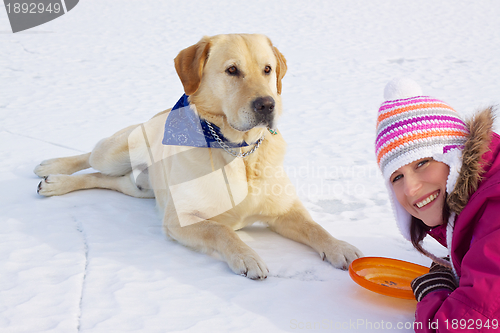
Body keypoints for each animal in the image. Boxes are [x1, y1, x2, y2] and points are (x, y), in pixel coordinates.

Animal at [36, 33, 364, 278]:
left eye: (268, 69)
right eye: (232, 70)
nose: (266, 104)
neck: (239, 152)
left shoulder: (285, 210)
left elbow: (315, 227)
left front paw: (340, 247)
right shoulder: (180, 219)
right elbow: (221, 230)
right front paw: (247, 257)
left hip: (140, 188)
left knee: (104, 179)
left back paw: (55, 182)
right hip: (115, 152)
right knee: (91, 157)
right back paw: (52, 168)